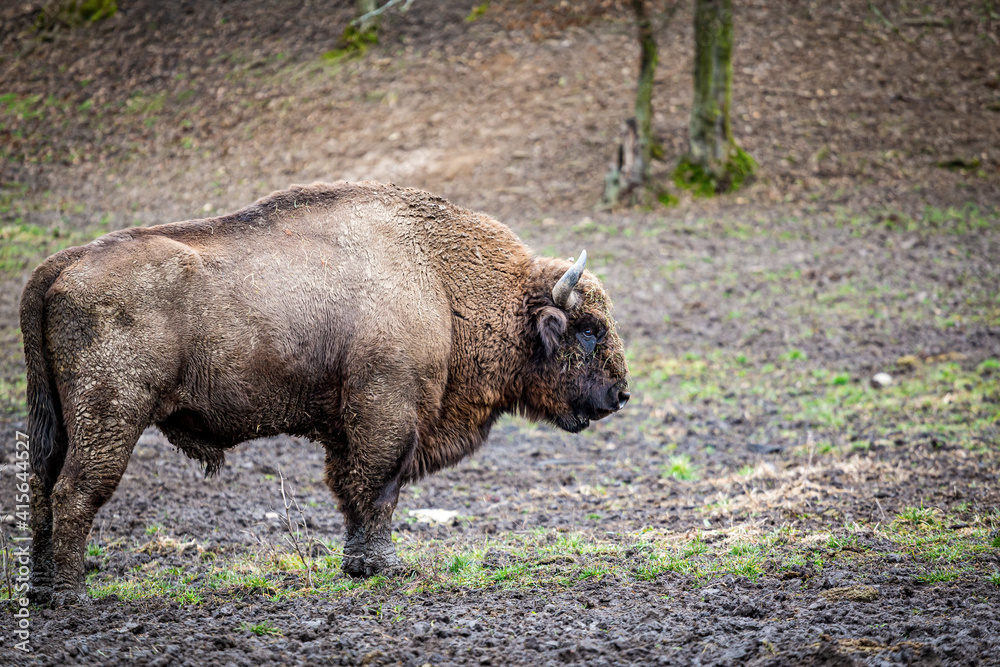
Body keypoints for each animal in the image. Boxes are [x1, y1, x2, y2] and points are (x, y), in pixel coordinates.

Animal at [20, 181, 629, 605]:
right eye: (589, 329)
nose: (620, 394)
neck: (440, 280)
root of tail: (61, 266)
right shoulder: (388, 410)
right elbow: (380, 485)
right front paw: (385, 566)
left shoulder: (346, 425)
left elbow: (351, 489)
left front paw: (358, 564)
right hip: (111, 417)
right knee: (75, 492)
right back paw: (73, 595)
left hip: (56, 424)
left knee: (41, 490)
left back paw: (42, 591)